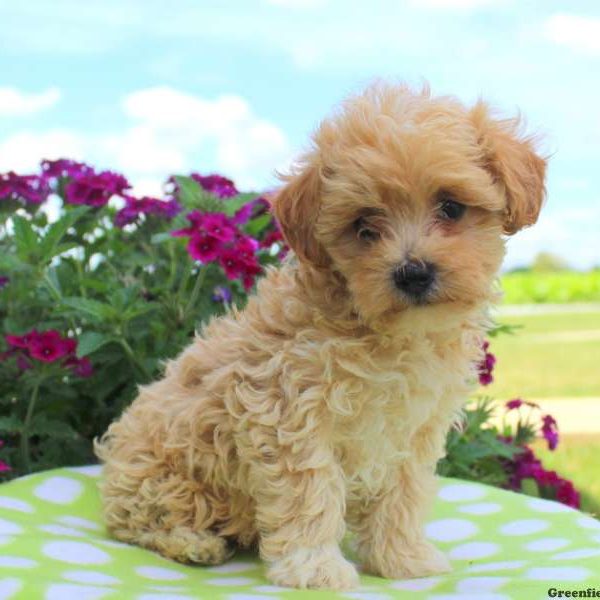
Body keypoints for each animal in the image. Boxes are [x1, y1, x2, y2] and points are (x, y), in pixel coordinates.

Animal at [96, 82, 548, 588]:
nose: (412, 272)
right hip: (164, 478)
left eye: (451, 207)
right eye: (364, 226)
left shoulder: (414, 429)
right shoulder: (288, 413)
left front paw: (402, 558)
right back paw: (193, 543)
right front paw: (314, 569)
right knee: (139, 521)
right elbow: (308, 493)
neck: (391, 337)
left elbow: (403, 494)